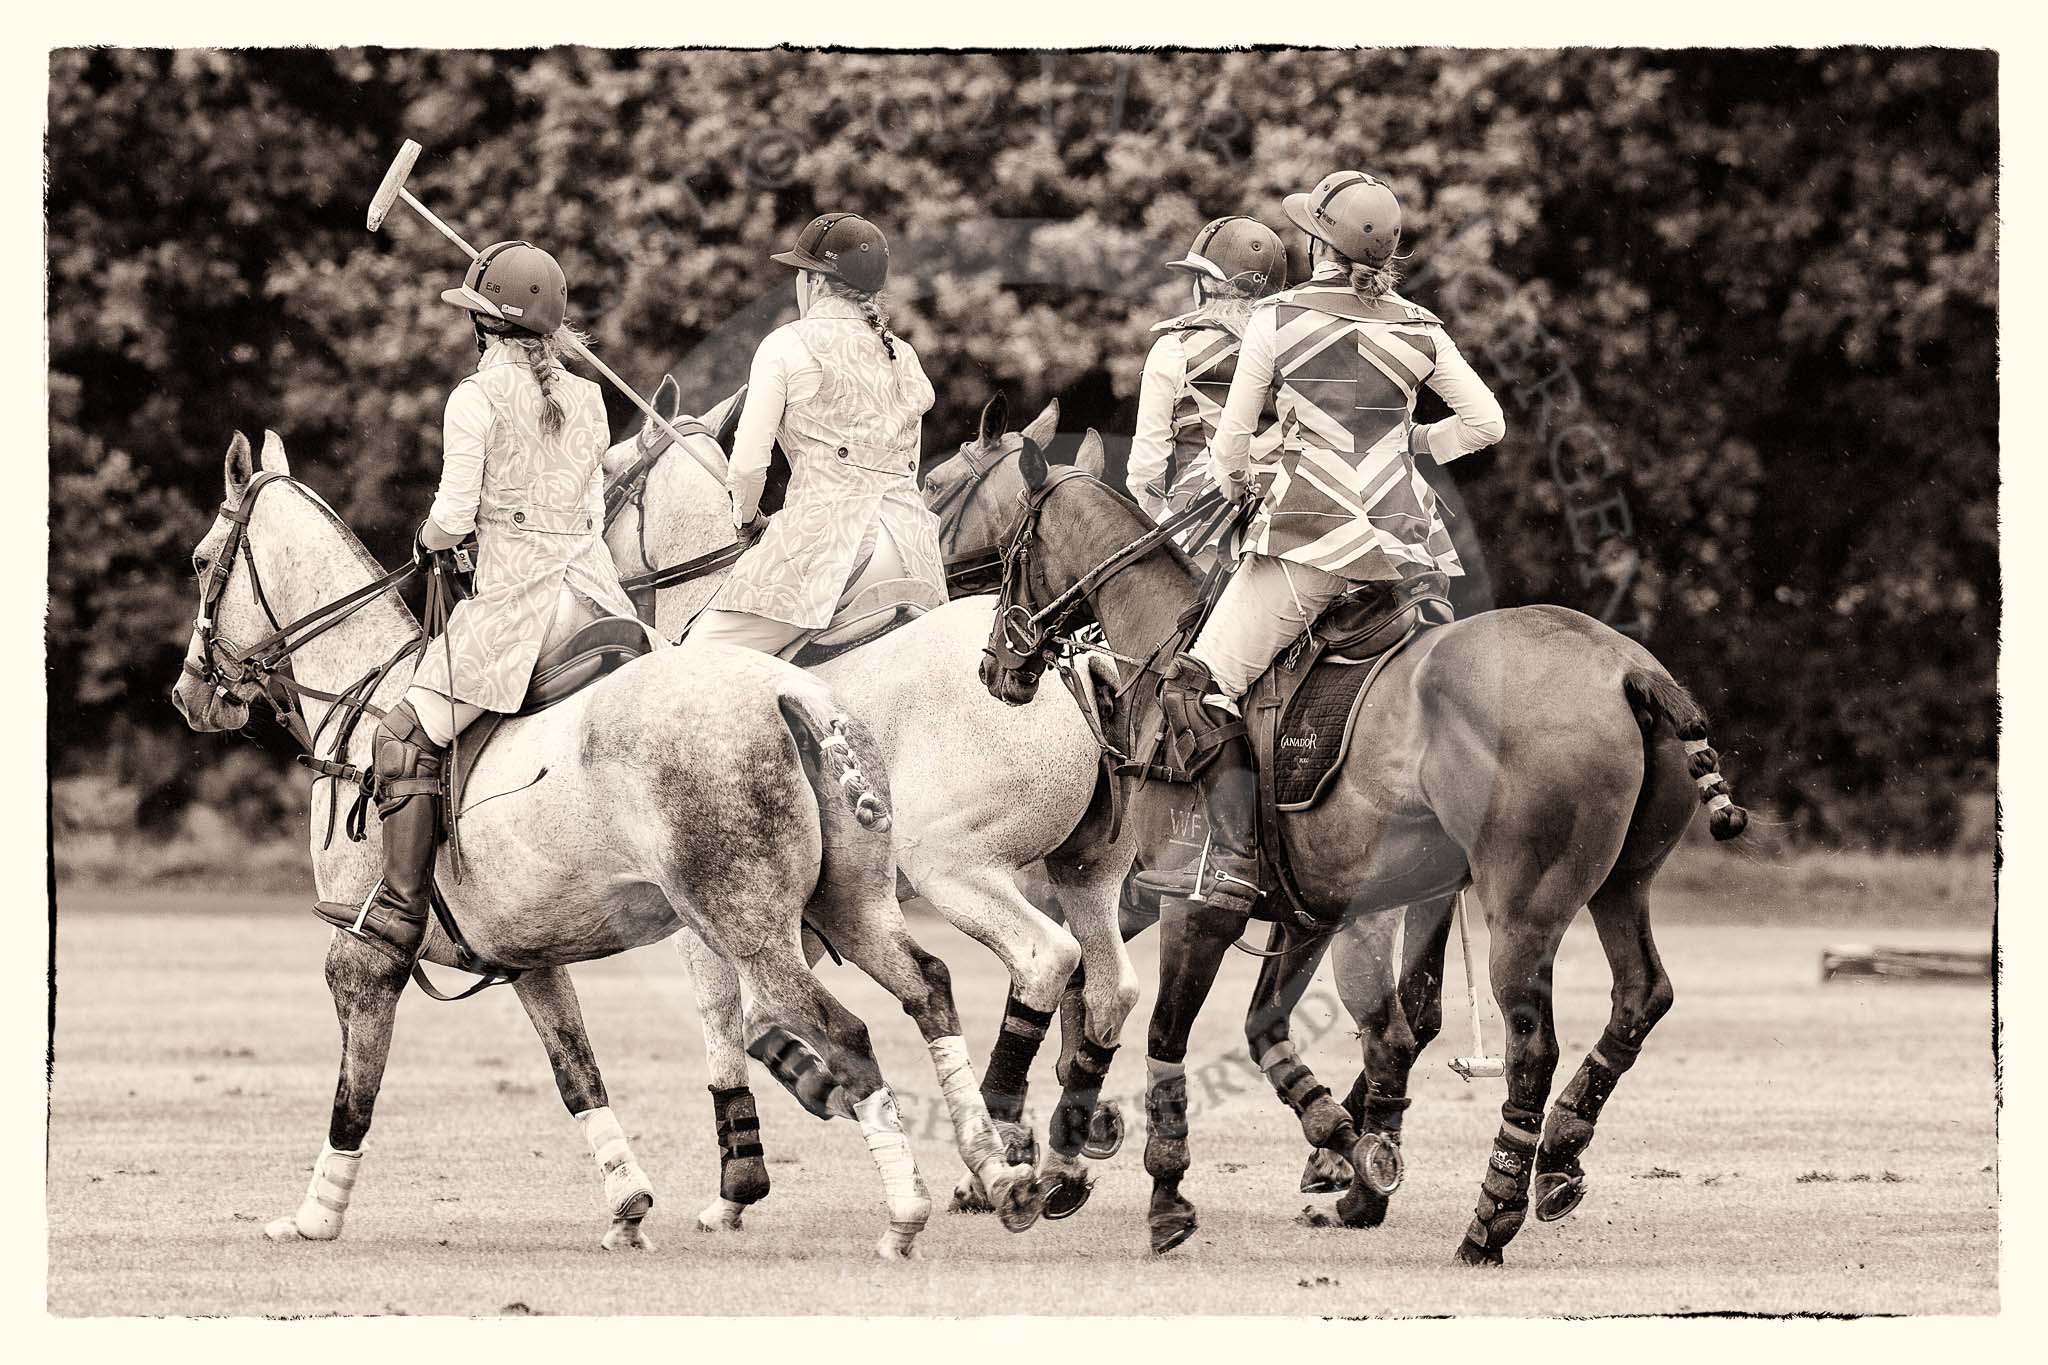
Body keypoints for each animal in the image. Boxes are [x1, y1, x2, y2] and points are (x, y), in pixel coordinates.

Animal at [974, 458, 1744, 1268]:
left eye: (1010, 550)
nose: (997, 665)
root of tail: (1628, 667)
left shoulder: (1194, 899)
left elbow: (1163, 1033)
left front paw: (1165, 1197)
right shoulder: (1306, 911)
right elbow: (1268, 1027)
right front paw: (1346, 1151)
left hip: (1521, 904)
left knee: (1530, 1042)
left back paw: (1491, 1217)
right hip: (1621, 881)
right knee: (1639, 993)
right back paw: (1556, 1152)